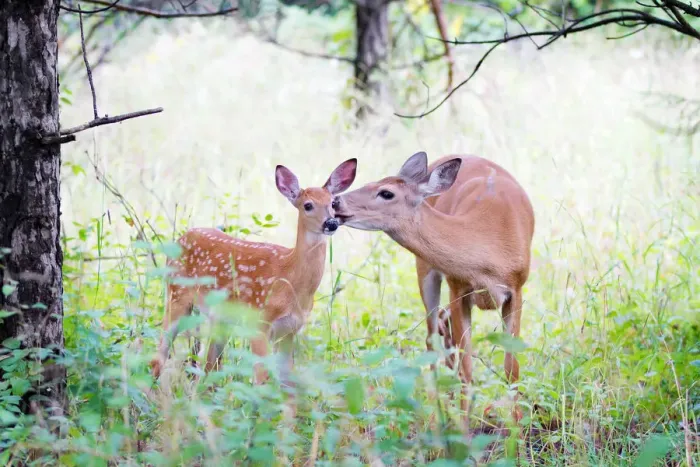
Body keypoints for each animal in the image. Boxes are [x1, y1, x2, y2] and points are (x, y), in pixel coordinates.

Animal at [150, 159, 358, 400]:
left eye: (333, 203)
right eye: (307, 205)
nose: (331, 223)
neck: (291, 279)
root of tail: (182, 237)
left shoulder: (289, 329)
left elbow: (288, 382)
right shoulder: (259, 321)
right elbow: (261, 378)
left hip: (219, 317)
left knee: (210, 367)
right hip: (177, 294)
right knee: (160, 353)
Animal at [334, 151, 534, 427]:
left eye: (386, 192)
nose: (336, 202)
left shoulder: (516, 290)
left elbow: (511, 368)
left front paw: (517, 429)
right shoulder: (457, 287)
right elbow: (467, 369)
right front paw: (463, 428)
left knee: (442, 326)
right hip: (425, 269)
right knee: (432, 337)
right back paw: (438, 412)